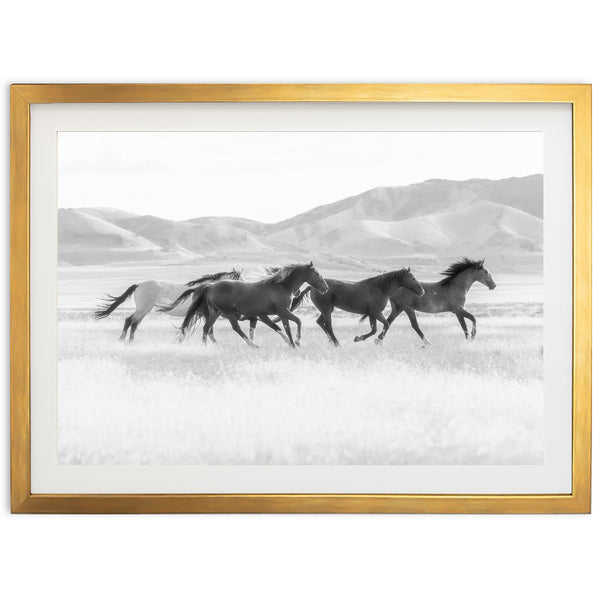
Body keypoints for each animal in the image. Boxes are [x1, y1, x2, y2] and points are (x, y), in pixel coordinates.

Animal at [93, 268, 241, 342]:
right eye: (240, 279)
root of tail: (139, 284)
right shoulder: (202, 314)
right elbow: (206, 330)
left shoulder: (200, 315)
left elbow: (193, 329)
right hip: (142, 310)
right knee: (129, 321)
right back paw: (122, 340)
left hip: (144, 311)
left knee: (134, 324)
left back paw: (130, 342)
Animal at [292, 268, 424, 346]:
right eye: (413, 278)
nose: (422, 292)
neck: (381, 288)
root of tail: (313, 287)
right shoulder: (376, 313)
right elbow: (386, 324)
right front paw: (377, 339)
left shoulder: (371, 314)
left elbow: (374, 329)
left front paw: (359, 338)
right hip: (326, 309)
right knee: (328, 325)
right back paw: (337, 343)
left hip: (327, 309)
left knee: (320, 322)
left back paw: (331, 341)